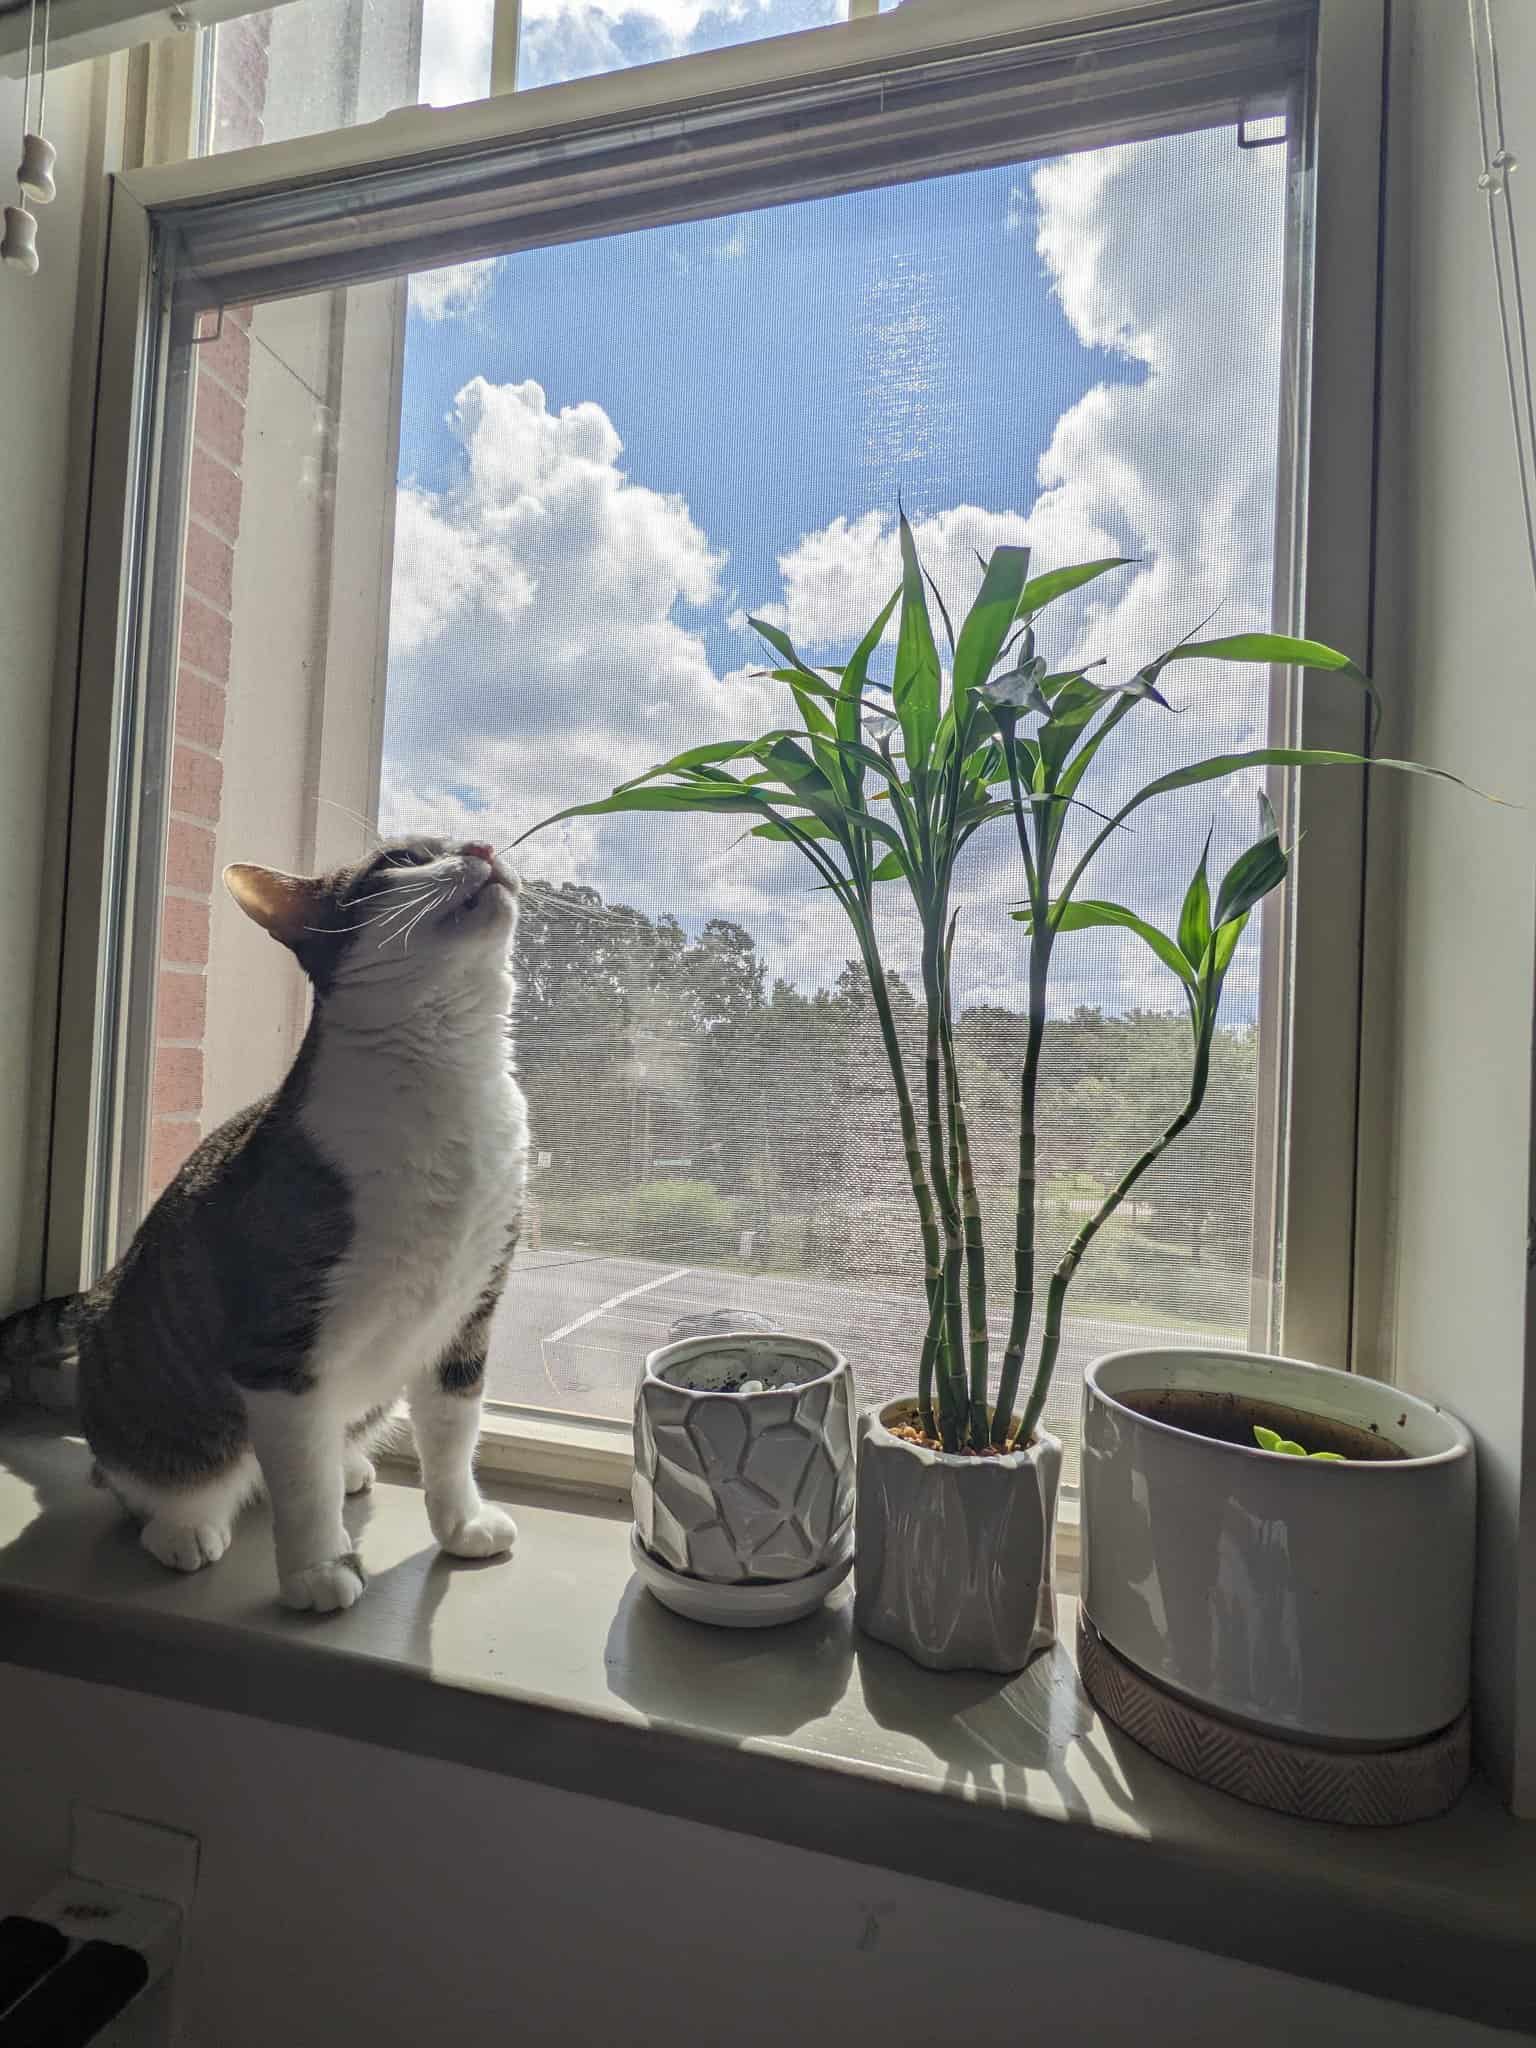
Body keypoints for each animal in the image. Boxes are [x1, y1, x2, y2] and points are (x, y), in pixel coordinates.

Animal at [0, 831, 528, 1613]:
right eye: (400, 862)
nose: (482, 844)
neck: (449, 1076)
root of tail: (103, 1289)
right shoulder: (281, 1345)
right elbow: (302, 1486)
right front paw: (317, 1571)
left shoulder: (470, 1311)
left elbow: (453, 1435)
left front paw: (462, 1523)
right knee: (138, 1477)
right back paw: (184, 1525)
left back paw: (347, 1466)